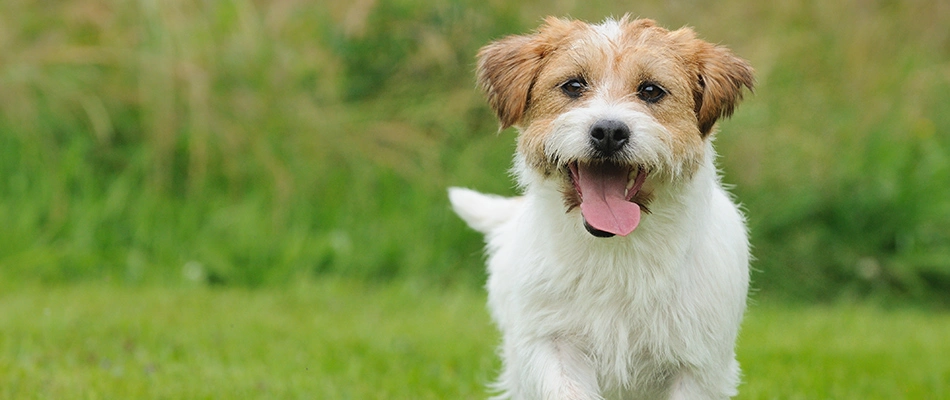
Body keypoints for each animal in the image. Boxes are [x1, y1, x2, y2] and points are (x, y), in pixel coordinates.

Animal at [450, 16, 756, 400]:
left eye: (651, 90)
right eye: (573, 85)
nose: (609, 131)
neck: (616, 251)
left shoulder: (698, 365)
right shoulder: (551, 342)